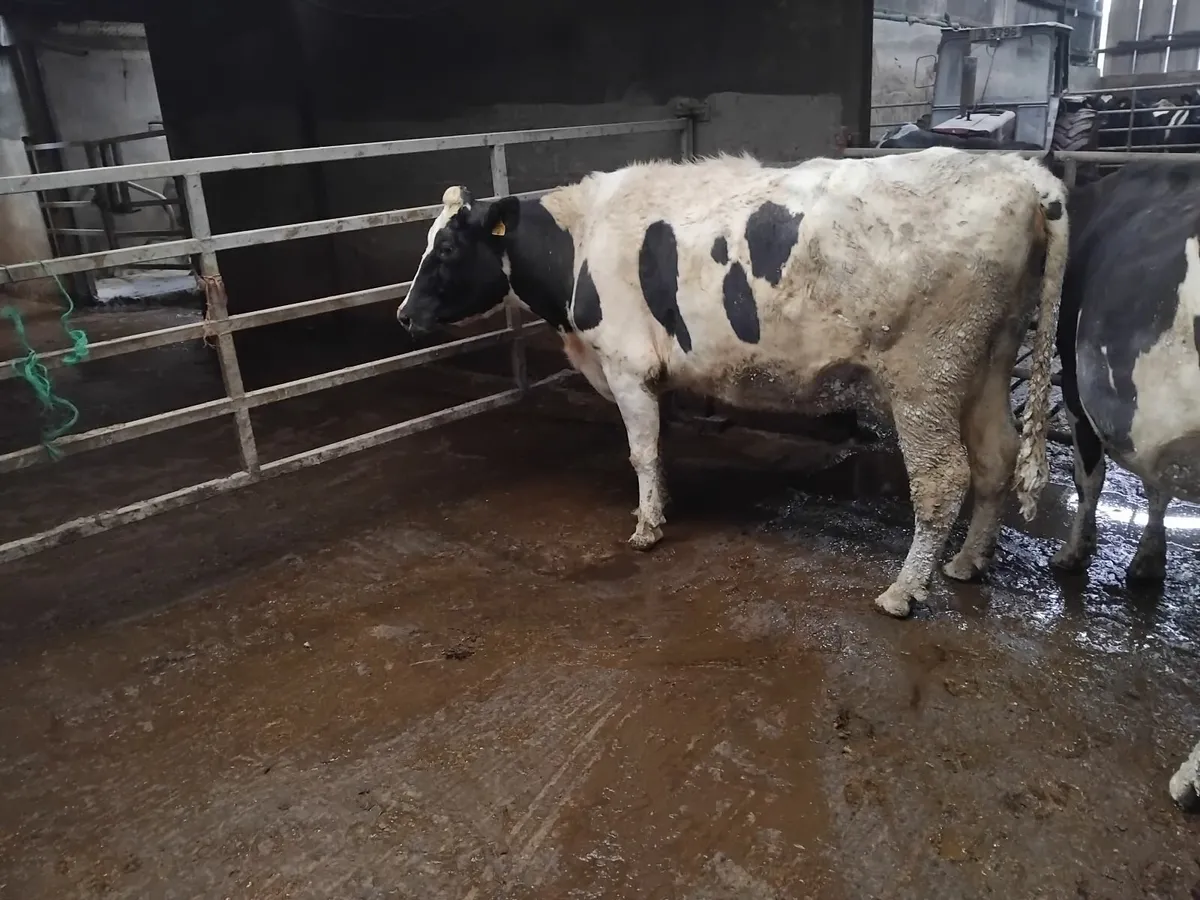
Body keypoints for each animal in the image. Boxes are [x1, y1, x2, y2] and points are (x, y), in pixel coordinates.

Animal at [397, 147, 1069, 618]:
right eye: (427, 242)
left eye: (448, 249)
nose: (403, 314)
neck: (581, 240)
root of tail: (1022, 174)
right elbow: (659, 447)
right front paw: (661, 506)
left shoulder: (626, 365)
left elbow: (641, 452)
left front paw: (647, 528)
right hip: (986, 358)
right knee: (996, 457)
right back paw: (968, 562)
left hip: (925, 377)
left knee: (942, 480)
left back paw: (904, 591)